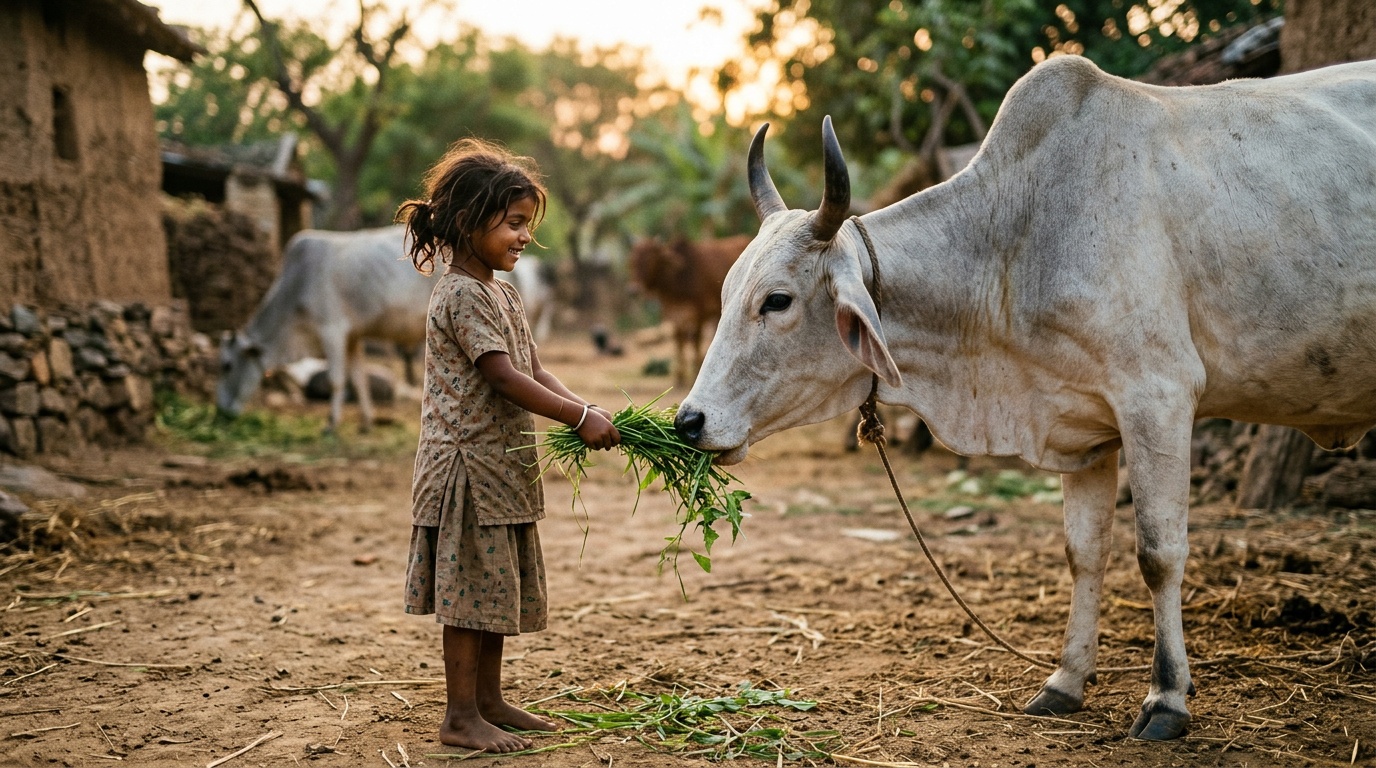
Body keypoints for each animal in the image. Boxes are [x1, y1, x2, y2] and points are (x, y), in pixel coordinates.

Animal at [217, 225, 554, 431]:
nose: (222, 412)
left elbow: (338, 380)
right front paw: (365, 422)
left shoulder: (331, 329)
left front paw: (330, 425)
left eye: (227, 365)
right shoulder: (352, 336)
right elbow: (358, 379)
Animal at [628, 235, 750, 387]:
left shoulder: (699, 314)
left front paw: (695, 372)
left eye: (651, 258)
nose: (634, 290)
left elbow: (695, 341)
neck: (677, 279)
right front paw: (679, 377)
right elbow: (679, 342)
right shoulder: (674, 316)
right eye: (633, 259)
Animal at [674, 55, 1376, 741]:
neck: (1017, 242)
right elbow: (1083, 554)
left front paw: (1167, 697)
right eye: (726, 291)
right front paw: (1065, 682)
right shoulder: (1085, 428)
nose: (689, 422)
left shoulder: (1160, 399)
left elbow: (1159, 554)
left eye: (777, 300)